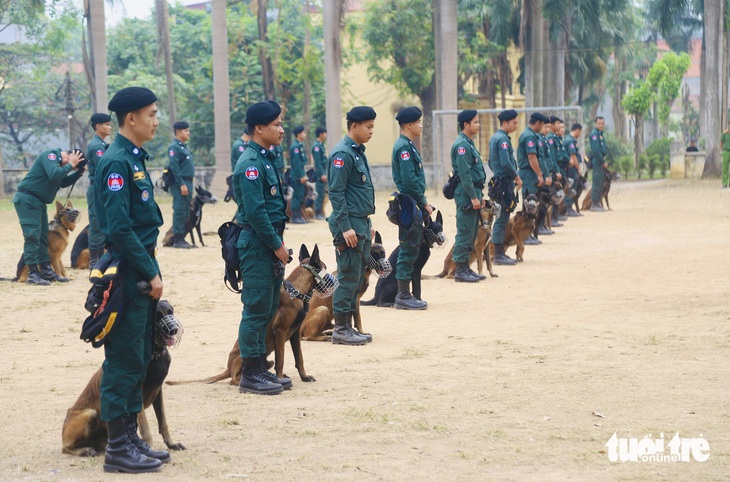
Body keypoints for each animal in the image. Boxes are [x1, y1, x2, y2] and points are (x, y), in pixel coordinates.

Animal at [61, 302, 185, 456]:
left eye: (170, 312)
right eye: (157, 315)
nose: (173, 330)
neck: (154, 355)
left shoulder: (158, 392)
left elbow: (163, 422)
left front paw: (171, 443)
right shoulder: (137, 397)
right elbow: (146, 429)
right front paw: (150, 450)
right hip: (90, 414)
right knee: (65, 448)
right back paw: (84, 450)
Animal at [168, 243, 330, 386]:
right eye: (326, 267)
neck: (295, 291)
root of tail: (228, 368)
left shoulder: (294, 334)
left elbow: (299, 358)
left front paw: (304, 377)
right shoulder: (280, 331)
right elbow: (281, 360)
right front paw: (280, 378)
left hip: (266, 357)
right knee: (235, 379)